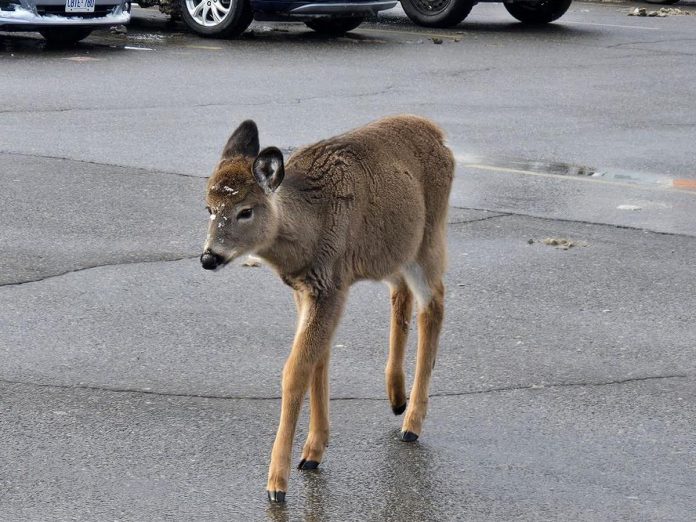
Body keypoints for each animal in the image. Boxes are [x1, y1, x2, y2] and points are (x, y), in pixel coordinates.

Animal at [198, 114, 454, 500]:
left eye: (245, 211)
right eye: (209, 208)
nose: (209, 257)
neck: (310, 227)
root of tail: (436, 132)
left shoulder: (331, 285)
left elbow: (296, 370)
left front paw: (277, 482)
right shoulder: (306, 290)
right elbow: (319, 360)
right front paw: (313, 452)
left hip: (428, 238)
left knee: (434, 303)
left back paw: (412, 423)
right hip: (391, 249)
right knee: (401, 292)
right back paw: (396, 397)